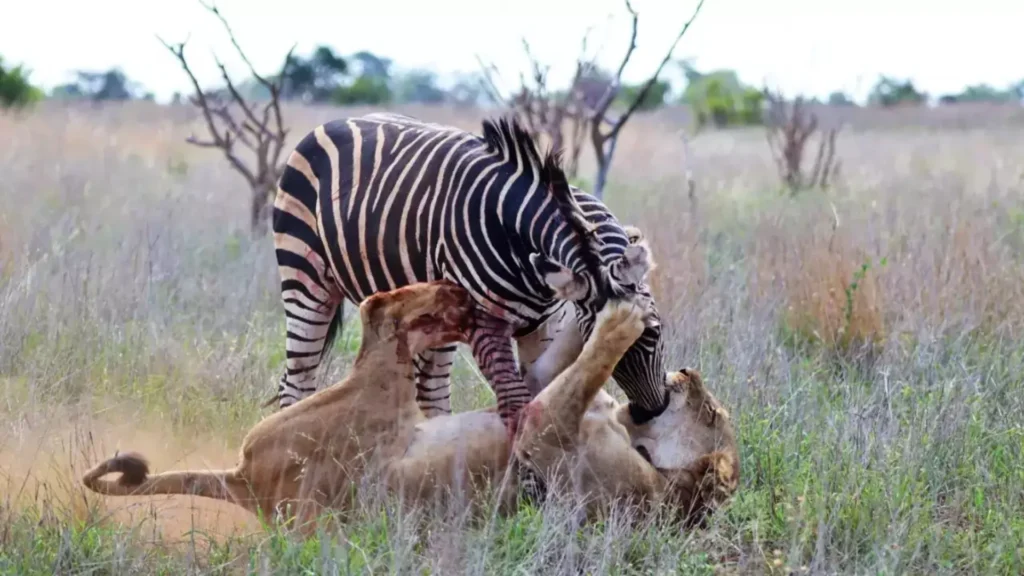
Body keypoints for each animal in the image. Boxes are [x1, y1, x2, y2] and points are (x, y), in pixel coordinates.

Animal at [79, 280, 737, 532]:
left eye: (712, 417)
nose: (688, 372)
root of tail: (245, 483)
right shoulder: (550, 397)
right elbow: (567, 361)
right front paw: (596, 306)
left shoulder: (548, 434)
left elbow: (582, 371)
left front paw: (623, 315)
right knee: (383, 319)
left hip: (373, 400)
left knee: (380, 319)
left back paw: (440, 304)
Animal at [272, 112, 671, 432]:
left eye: (655, 331)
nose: (652, 412)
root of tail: (335, 121)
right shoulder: (485, 324)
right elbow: (515, 401)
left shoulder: (545, 323)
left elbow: (543, 391)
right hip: (304, 278)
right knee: (299, 376)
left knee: (430, 389)